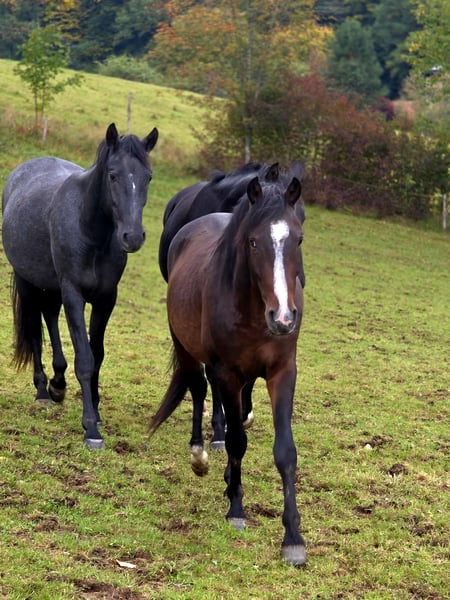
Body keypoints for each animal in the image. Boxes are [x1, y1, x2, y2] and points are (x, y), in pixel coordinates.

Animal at [2, 123, 158, 449]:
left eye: (148, 177)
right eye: (113, 175)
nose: (133, 237)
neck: (92, 231)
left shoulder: (105, 299)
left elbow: (97, 355)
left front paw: (95, 412)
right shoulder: (73, 293)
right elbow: (85, 358)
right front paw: (91, 429)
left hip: (51, 286)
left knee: (49, 317)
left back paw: (58, 383)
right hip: (27, 282)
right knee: (34, 329)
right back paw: (42, 390)